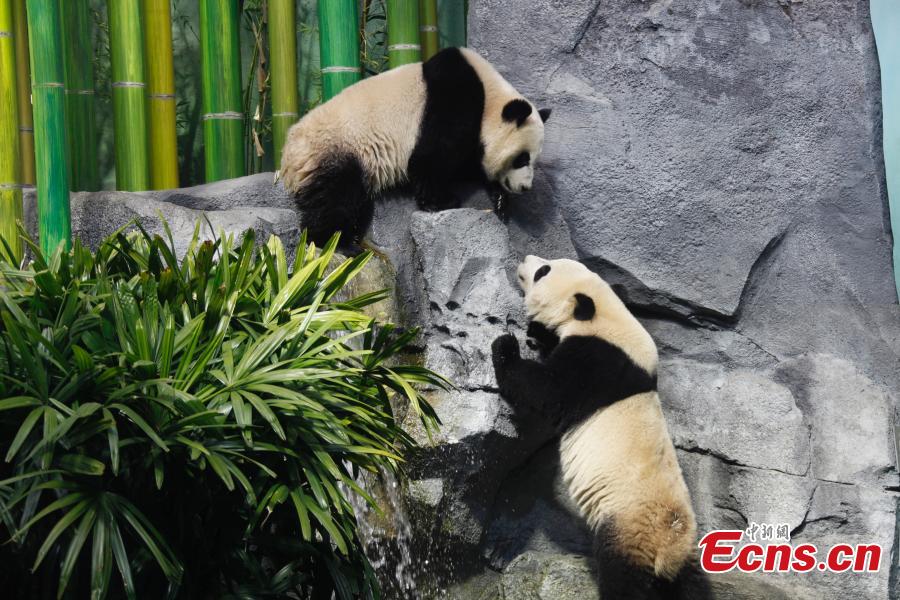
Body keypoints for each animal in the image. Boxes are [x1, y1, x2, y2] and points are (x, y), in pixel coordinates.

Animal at [279, 47, 550, 252]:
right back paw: (335, 243)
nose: (525, 188)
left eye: (532, 160)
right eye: (521, 158)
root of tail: (288, 158)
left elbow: (467, 163)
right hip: (335, 149)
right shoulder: (453, 96)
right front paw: (442, 201)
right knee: (335, 196)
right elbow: (431, 157)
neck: (489, 93)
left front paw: (501, 200)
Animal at [491, 255, 711, 600]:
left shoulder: (596, 364)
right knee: (695, 586)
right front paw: (536, 334)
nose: (526, 259)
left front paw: (507, 345)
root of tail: (668, 553)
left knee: (623, 579)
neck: (608, 315)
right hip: (687, 555)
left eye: (544, 271)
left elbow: (549, 392)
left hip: (627, 532)